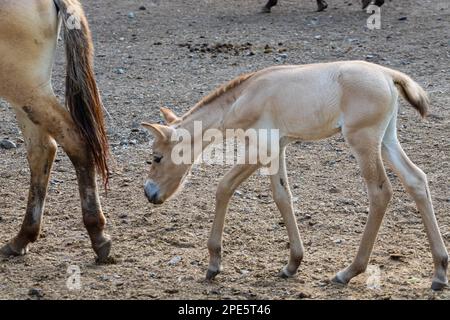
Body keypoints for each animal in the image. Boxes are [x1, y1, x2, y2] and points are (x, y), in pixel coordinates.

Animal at [0, 0, 111, 262]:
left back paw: (98, 236)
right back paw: (22, 238)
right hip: (26, 94)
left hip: (25, 89)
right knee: (42, 151)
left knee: (74, 141)